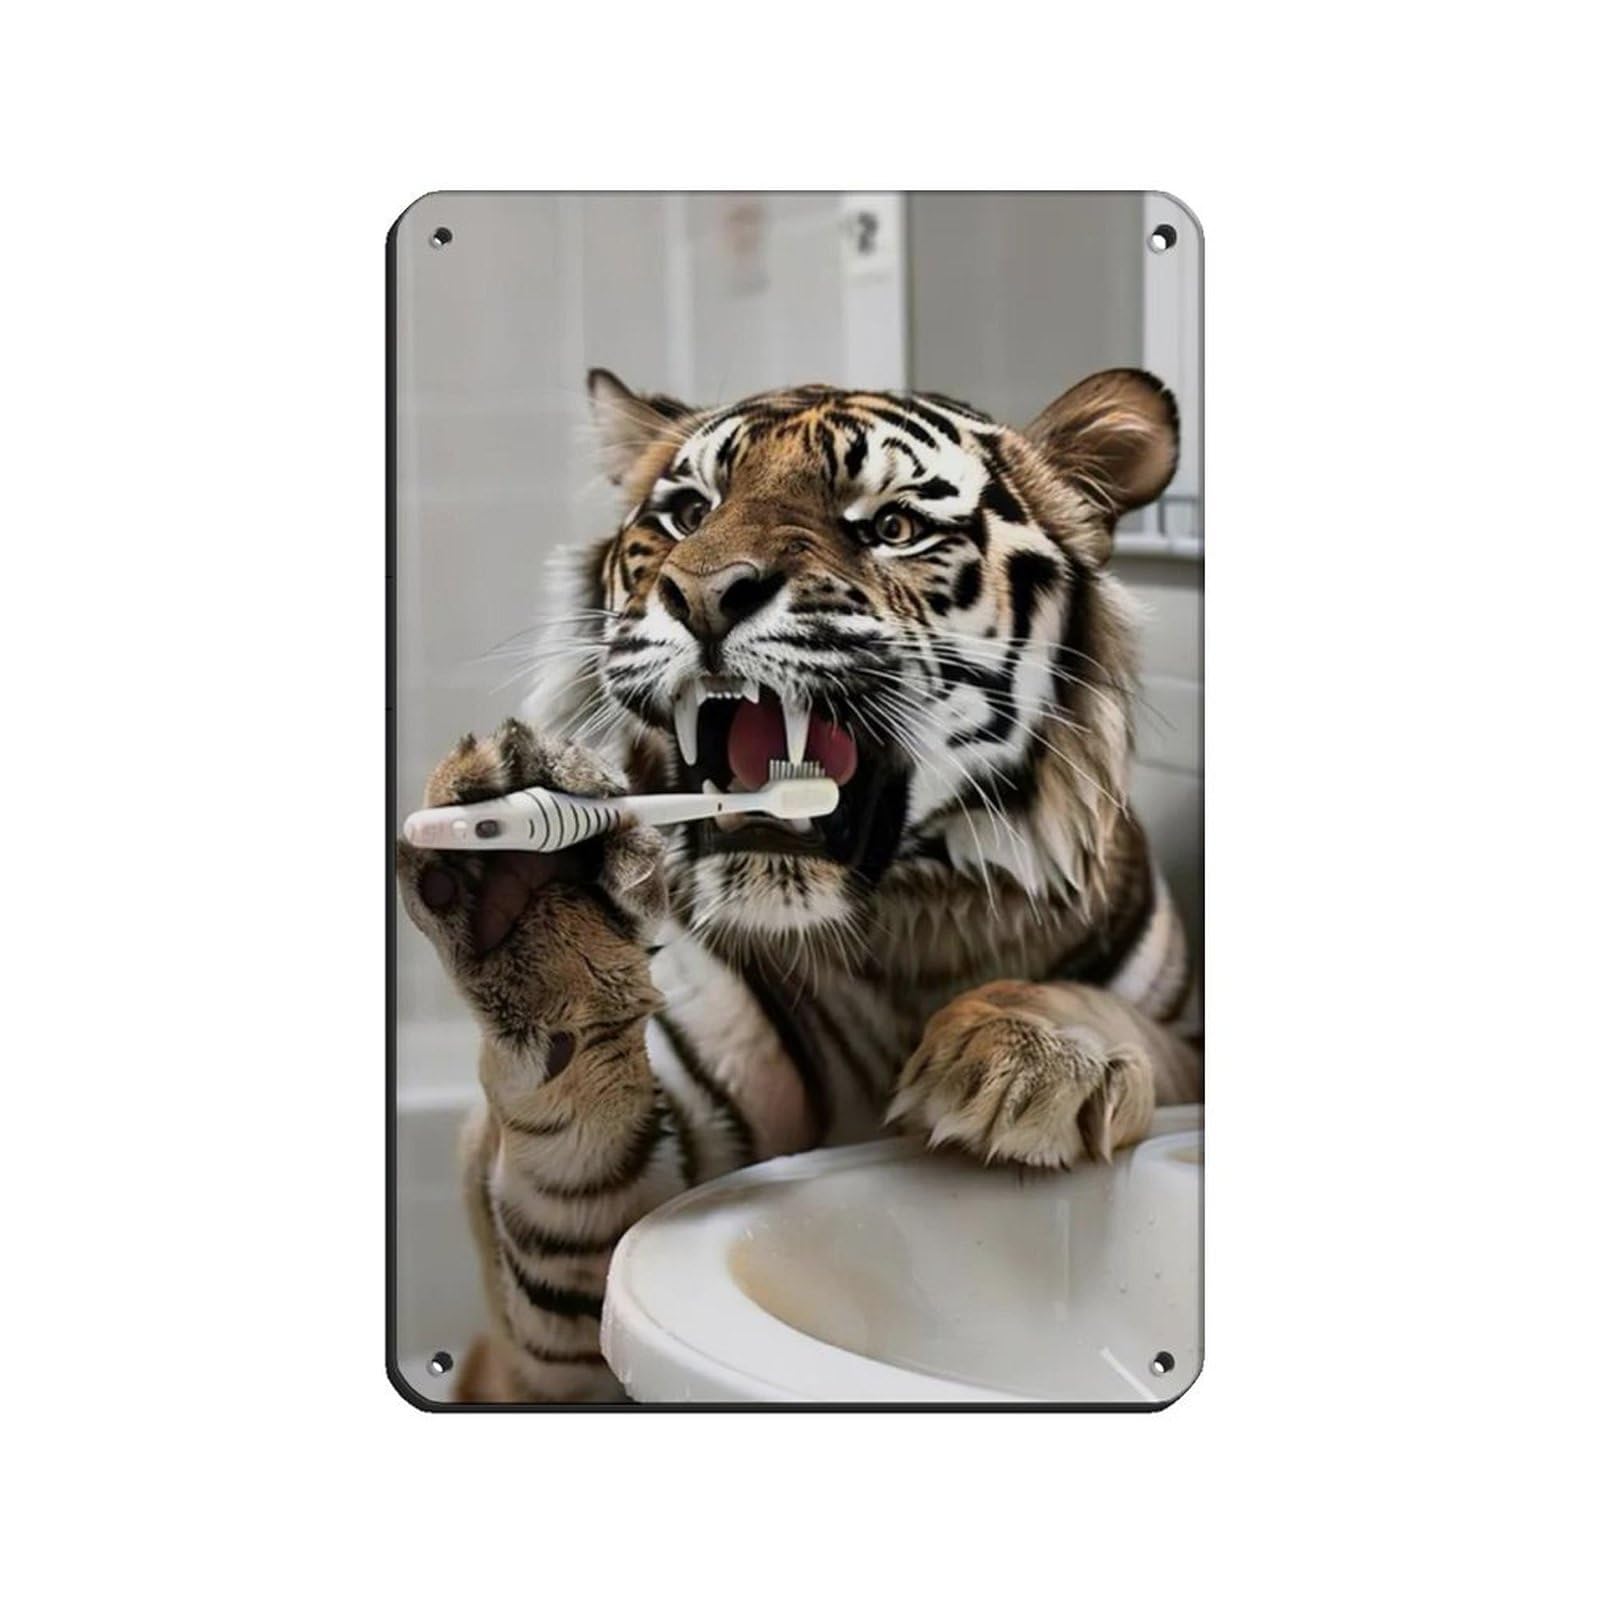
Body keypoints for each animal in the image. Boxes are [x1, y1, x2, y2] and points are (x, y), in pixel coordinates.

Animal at [396, 366, 1202, 1403]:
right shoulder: (575, 1326)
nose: (704, 594)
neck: (913, 932)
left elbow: (1117, 1024)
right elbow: (576, 1165)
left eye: (890, 525)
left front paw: (1028, 1053)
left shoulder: (1189, 1046)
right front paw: (538, 901)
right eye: (689, 514)